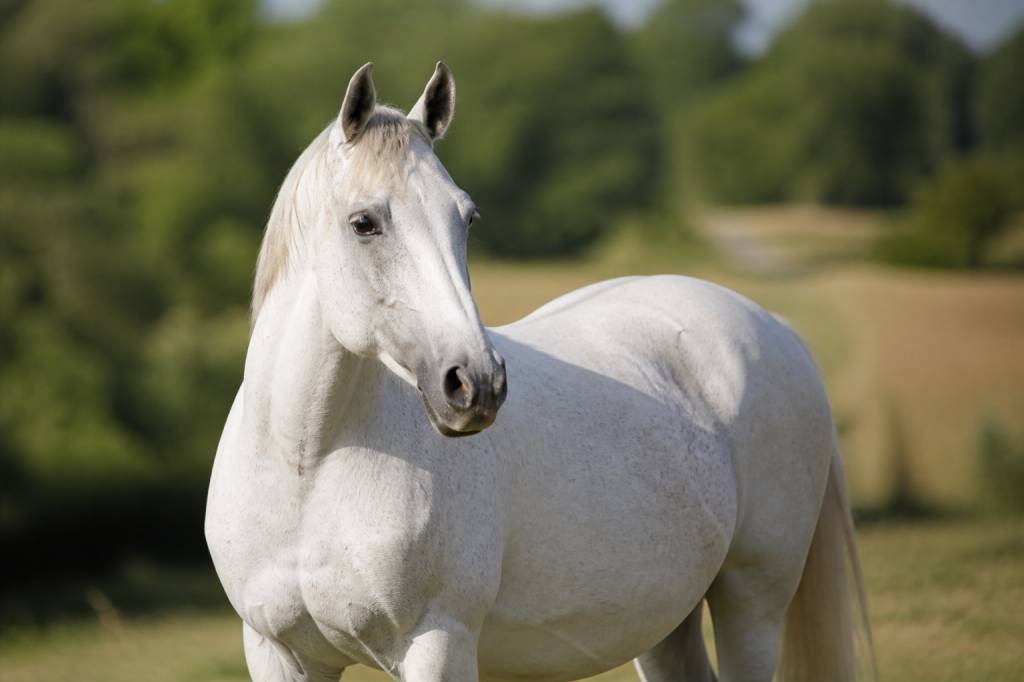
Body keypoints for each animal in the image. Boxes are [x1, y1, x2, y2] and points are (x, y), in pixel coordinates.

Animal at [205, 62, 874, 682]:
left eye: (466, 218)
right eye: (364, 223)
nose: (476, 384)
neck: (308, 464)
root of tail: (773, 326)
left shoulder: (437, 644)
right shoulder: (277, 652)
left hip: (751, 603)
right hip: (666, 622)